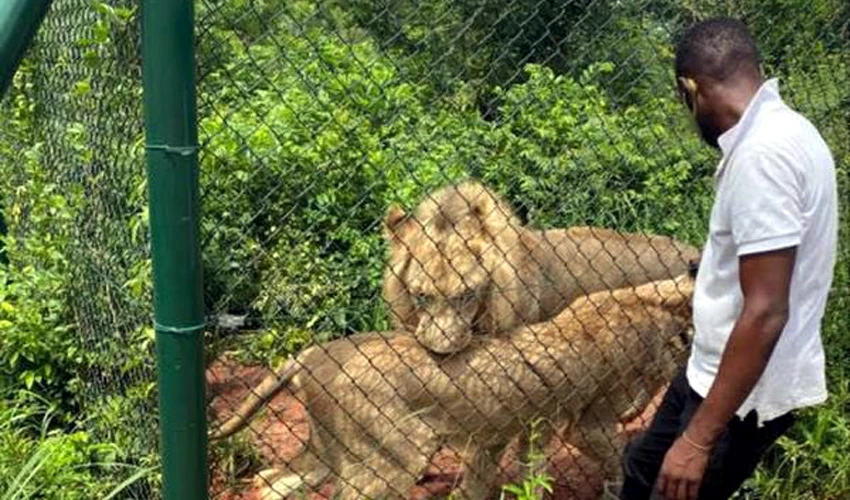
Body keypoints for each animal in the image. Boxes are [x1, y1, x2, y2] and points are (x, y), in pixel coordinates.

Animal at [209, 274, 692, 500]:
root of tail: (311, 355)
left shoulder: (513, 432)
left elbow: (517, 480)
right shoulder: (587, 423)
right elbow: (617, 456)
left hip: (329, 450)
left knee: (270, 481)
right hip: (400, 453)